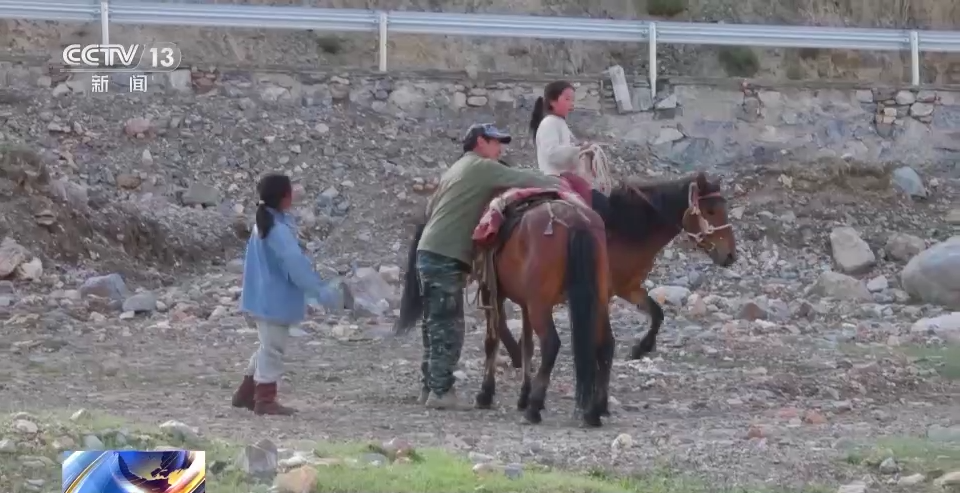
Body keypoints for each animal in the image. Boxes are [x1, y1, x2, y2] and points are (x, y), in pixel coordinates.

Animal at [394, 192, 612, 426]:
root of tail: (575, 221)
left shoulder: (492, 293)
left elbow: (492, 341)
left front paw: (486, 394)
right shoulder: (525, 303)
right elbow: (527, 345)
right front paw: (523, 395)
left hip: (541, 307)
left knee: (551, 344)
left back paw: (535, 408)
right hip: (595, 302)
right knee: (605, 344)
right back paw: (594, 410)